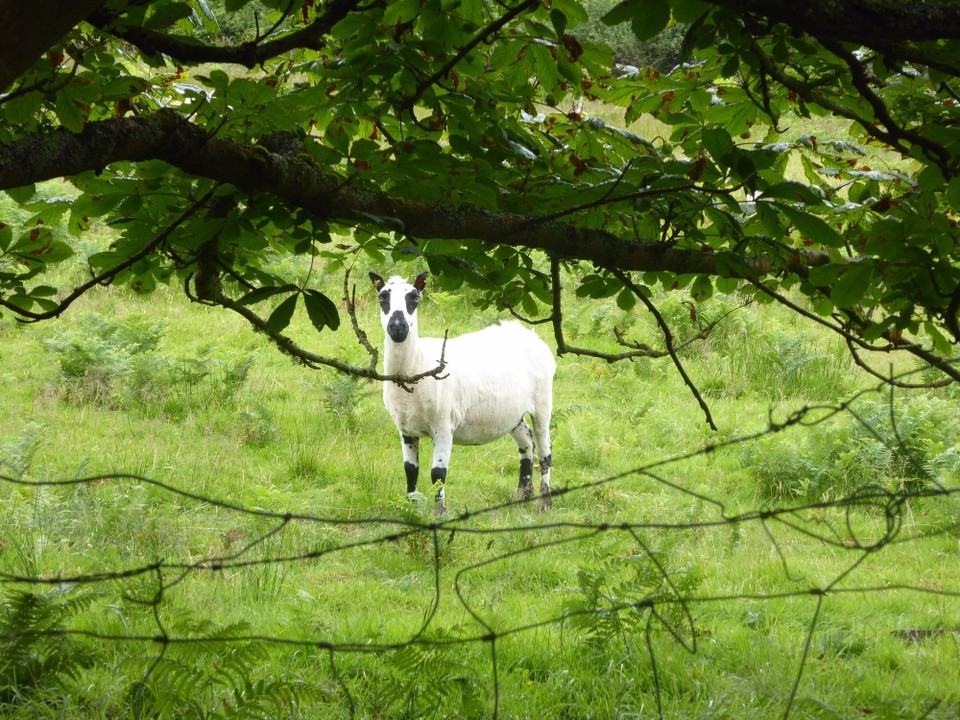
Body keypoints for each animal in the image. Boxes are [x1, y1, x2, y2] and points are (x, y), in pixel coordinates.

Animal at [372, 270, 560, 512]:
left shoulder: (443, 426)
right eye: (382, 297)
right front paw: (411, 508)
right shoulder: (405, 429)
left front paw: (439, 513)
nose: (397, 327)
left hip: (543, 400)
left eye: (414, 297)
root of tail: (529, 333)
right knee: (527, 442)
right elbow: (410, 470)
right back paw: (523, 496)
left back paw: (545, 503)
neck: (416, 367)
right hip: (511, 411)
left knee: (546, 449)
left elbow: (438, 474)